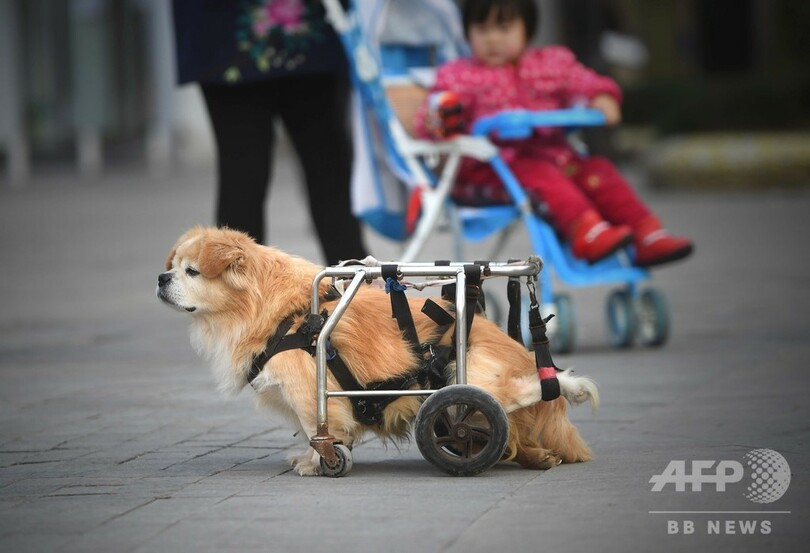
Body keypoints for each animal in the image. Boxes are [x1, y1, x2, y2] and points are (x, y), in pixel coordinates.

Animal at [157, 227, 598, 475]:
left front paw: (322, 462)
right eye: (173, 267)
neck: (287, 315)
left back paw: (568, 385)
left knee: (523, 391)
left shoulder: (307, 394)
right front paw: (318, 458)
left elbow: (320, 429)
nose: (161, 278)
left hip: (467, 377)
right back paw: (539, 457)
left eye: (191, 272)